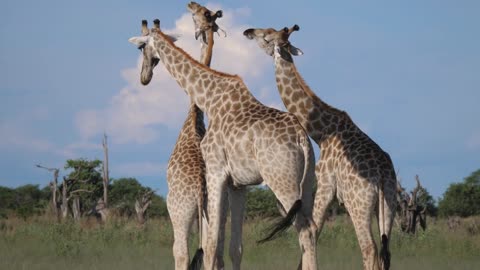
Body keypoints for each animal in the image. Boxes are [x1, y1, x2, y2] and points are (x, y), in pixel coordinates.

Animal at [128, 19, 318, 270]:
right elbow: (234, 247)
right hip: (307, 182)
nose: (144, 76)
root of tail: (301, 138)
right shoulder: (238, 185)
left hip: (282, 180)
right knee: (312, 228)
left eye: (141, 47)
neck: (209, 99)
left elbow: (210, 246)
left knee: (303, 230)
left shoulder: (216, 171)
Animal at [244, 25, 398, 270]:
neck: (323, 132)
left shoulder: (325, 182)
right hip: (388, 204)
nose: (248, 31)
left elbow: (313, 231)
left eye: (266, 37)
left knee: (369, 248)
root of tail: (383, 177)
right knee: (386, 252)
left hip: (358, 204)